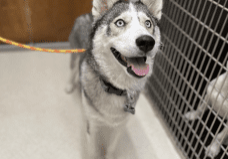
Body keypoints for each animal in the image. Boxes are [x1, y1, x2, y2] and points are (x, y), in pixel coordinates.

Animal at [65, 0, 162, 158]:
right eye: (120, 22)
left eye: (148, 23)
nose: (147, 41)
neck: (116, 88)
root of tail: (86, 14)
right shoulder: (92, 124)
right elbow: (93, 151)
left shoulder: (120, 126)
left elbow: (111, 148)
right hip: (73, 54)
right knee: (72, 69)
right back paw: (69, 86)